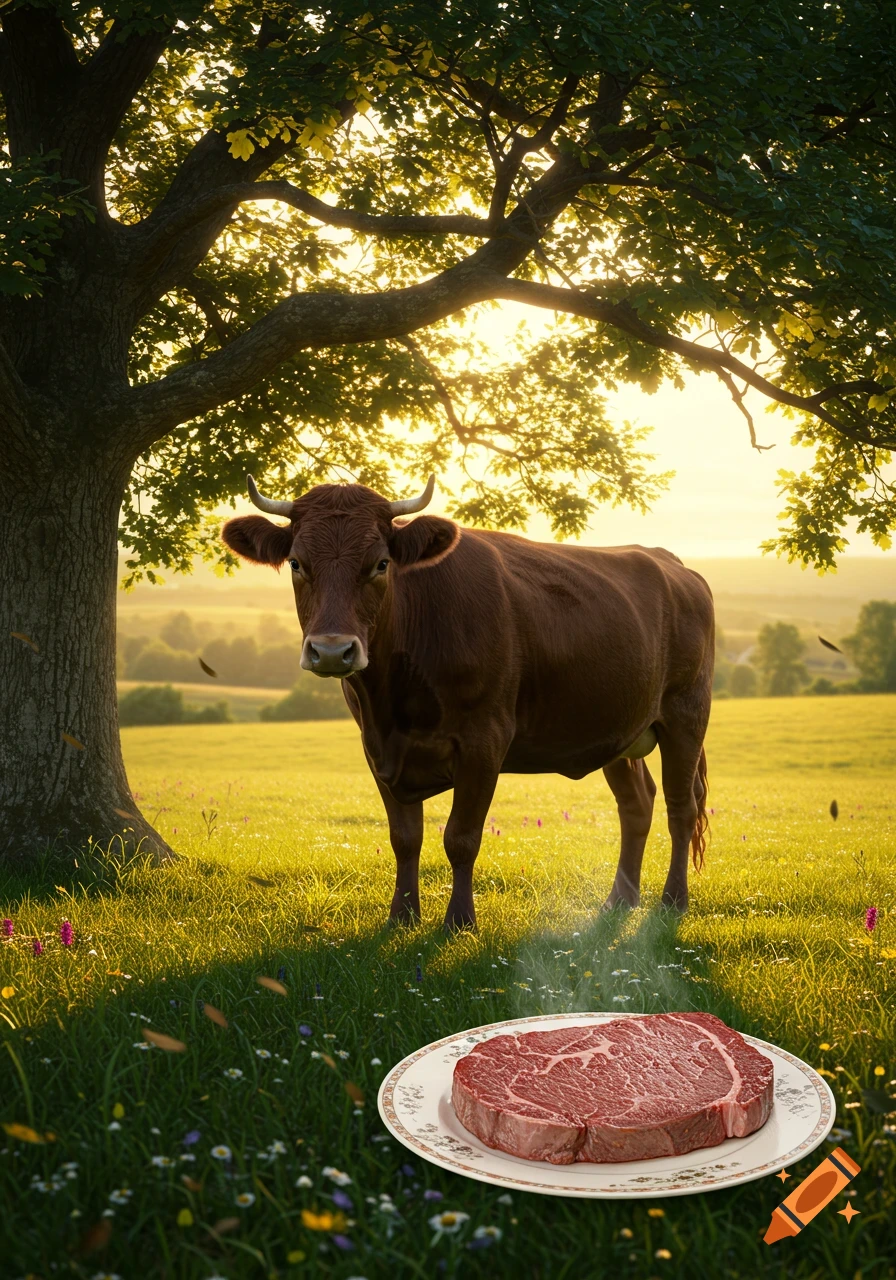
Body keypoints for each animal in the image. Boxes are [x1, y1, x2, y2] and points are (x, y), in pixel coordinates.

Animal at [221, 476, 714, 931]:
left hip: (686, 715)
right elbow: (405, 837)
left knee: (681, 806)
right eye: (296, 562)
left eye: (381, 563)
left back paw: (673, 901)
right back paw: (619, 901)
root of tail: (672, 564)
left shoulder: (484, 741)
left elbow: (461, 837)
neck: (394, 704)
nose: (330, 651)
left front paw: (459, 921)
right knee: (637, 804)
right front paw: (402, 916)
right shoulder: (377, 749)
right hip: (621, 731)